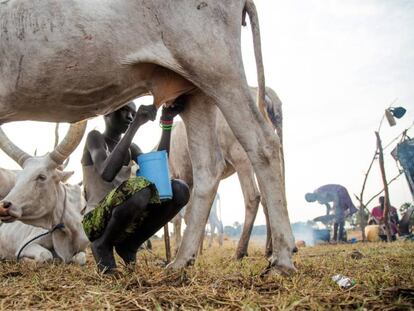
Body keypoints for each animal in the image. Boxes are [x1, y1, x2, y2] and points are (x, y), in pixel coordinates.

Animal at [0, 0, 298, 272]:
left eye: (41, 178)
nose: (7, 206)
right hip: (195, 88)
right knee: (207, 169)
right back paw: (180, 261)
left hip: (217, 68)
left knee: (261, 146)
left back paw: (279, 259)